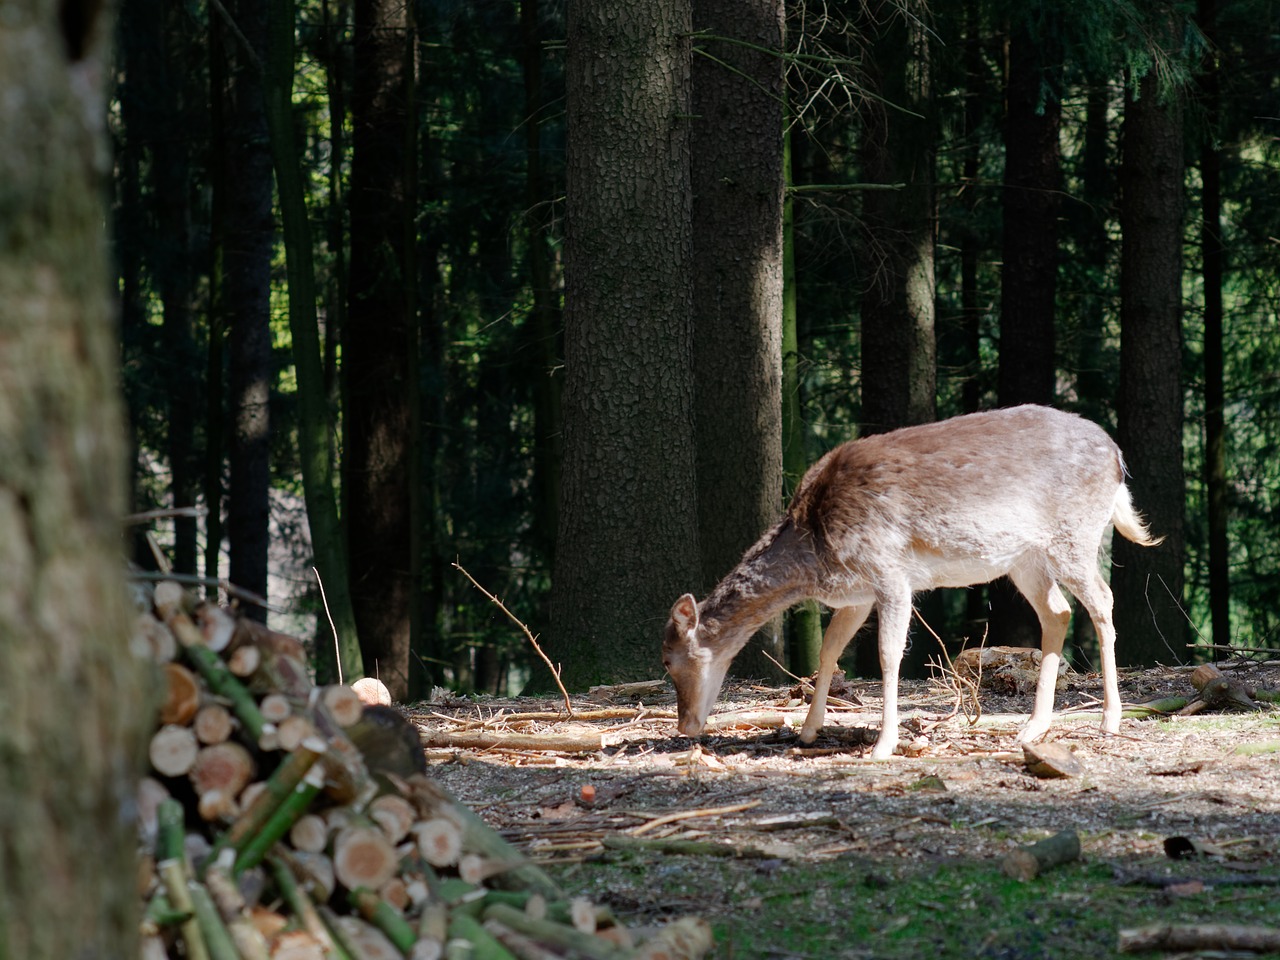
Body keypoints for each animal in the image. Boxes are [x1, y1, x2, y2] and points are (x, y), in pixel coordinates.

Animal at [665, 404, 1167, 757]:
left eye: (669, 662)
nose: (685, 726)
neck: (815, 551)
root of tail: (1117, 458)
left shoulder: (889, 572)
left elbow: (889, 656)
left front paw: (883, 745)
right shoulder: (856, 594)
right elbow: (829, 650)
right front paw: (808, 732)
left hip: (1076, 535)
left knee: (1102, 601)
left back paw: (1110, 720)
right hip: (1025, 559)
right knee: (1058, 612)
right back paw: (1033, 726)